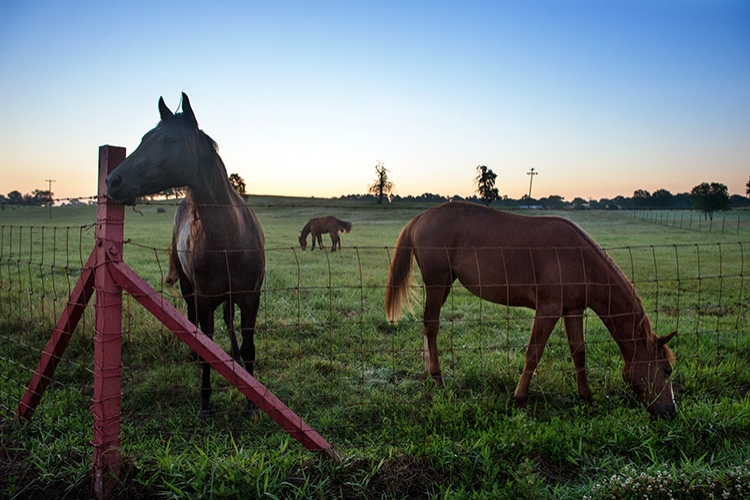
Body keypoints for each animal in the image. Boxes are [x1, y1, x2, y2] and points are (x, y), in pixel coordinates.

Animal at [106, 93, 264, 418]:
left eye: (168, 141)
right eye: (145, 138)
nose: (113, 181)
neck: (230, 238)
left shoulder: (250, 297)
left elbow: (249, 345)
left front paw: (252, 400)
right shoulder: (204, 300)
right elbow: (207, 348)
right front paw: (206, 404)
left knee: (229, 323)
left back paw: (235, 358)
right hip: (190, 289)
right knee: (193, 323)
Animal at [388, 202, 680, 418]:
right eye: (666, 370)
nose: (671, 411)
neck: (579, 258)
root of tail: (419, 219)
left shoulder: (572, 310)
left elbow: (579, 352)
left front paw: (586, 396)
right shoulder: (548, 309)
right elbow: (533, 353)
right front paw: (520, 398)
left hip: (445, 285)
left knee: (428, 325)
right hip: (437, 284)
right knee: (432, 327)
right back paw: (438, 378)